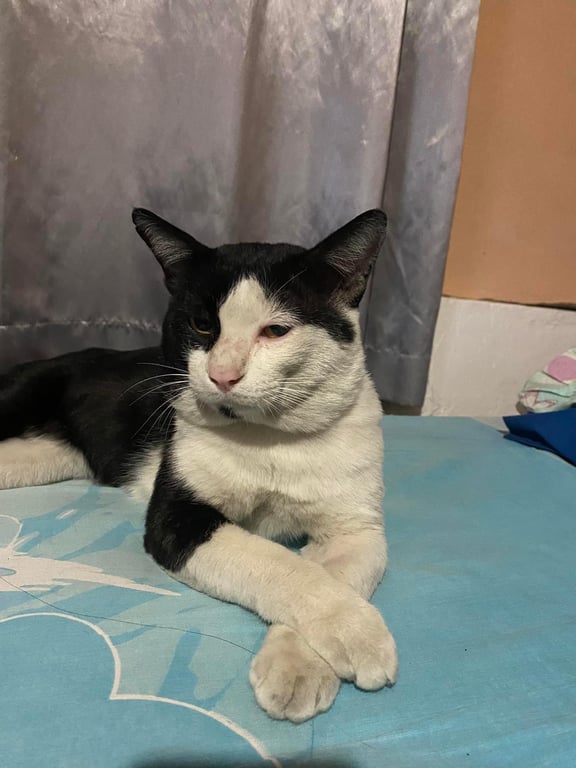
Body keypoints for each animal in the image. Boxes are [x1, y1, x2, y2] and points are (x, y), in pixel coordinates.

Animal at [0, 207, 397, 722]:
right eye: (202, 325)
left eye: (277, 330)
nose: (222, 376)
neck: (268, 438)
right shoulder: (176, 518)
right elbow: (276, 561)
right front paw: (358, 633)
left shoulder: (356, 529)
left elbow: (335, 571)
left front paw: (299, 665)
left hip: (41, 456)